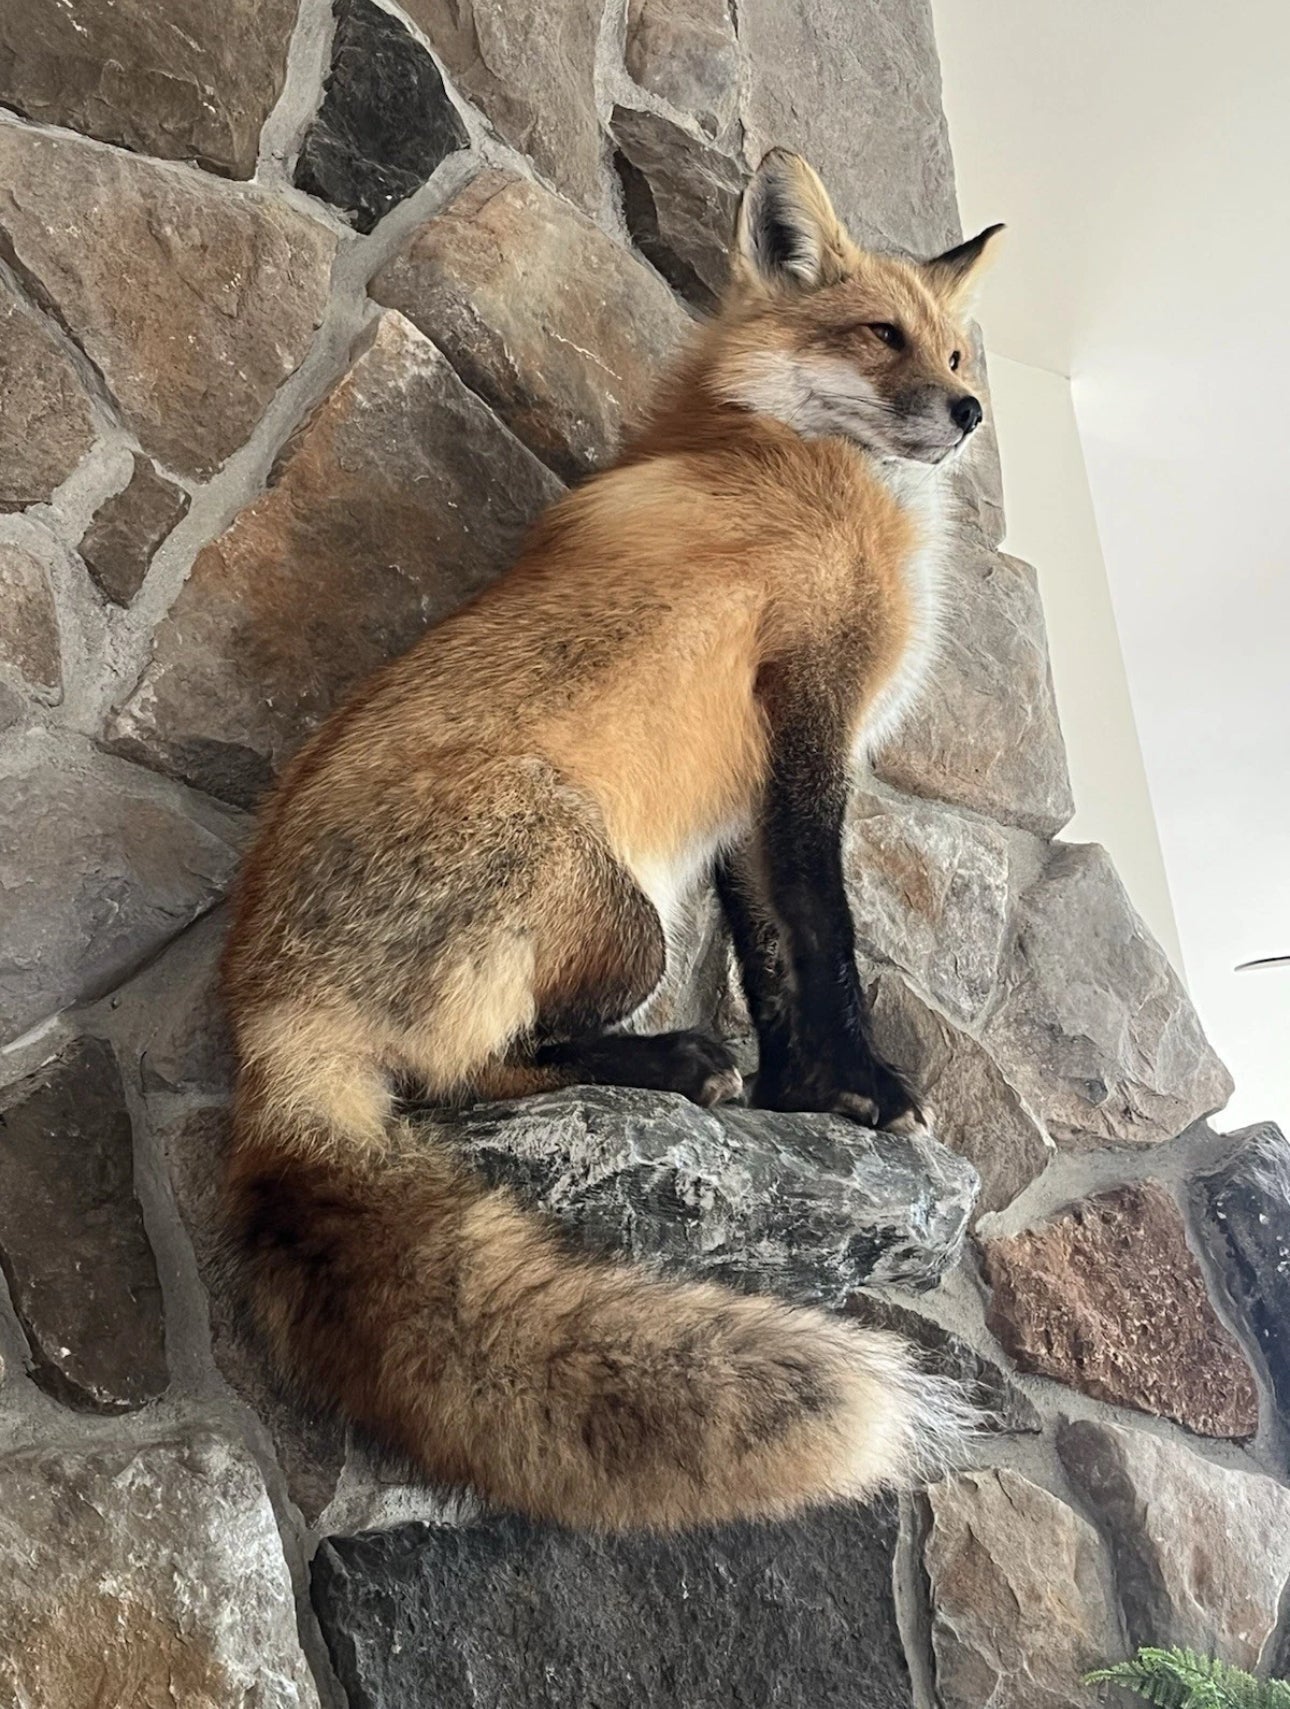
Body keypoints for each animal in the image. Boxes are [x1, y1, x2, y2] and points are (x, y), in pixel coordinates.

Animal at [220, 149, 1003, 1532]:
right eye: (880, 335)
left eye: (960, 350)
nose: (968, 412)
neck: (798, 452)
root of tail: (266, 1014)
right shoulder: (809, 724)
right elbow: (830, 932)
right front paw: (863, 1084)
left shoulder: (754, 791)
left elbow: (776, 953)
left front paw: (809, 1092)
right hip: (617, 908)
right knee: (457, 1077)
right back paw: (676, 1062)